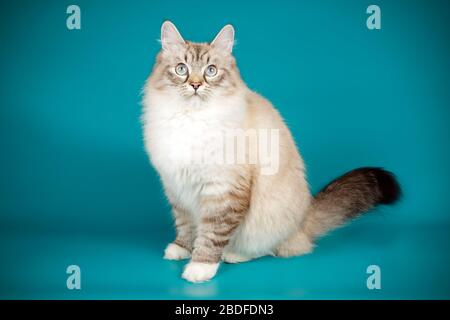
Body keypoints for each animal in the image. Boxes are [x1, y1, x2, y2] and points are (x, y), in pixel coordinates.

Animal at [142, 21, 400, 282]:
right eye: (181, 69)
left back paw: (234, 254)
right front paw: (181, 248)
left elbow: (212, 234)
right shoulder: (177, 187)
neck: (191, 120)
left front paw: (200, 267)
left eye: (211, 71)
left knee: (269, 248)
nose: (195, 85)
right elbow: (185, 225)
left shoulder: (223, 190)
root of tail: (303, 218)